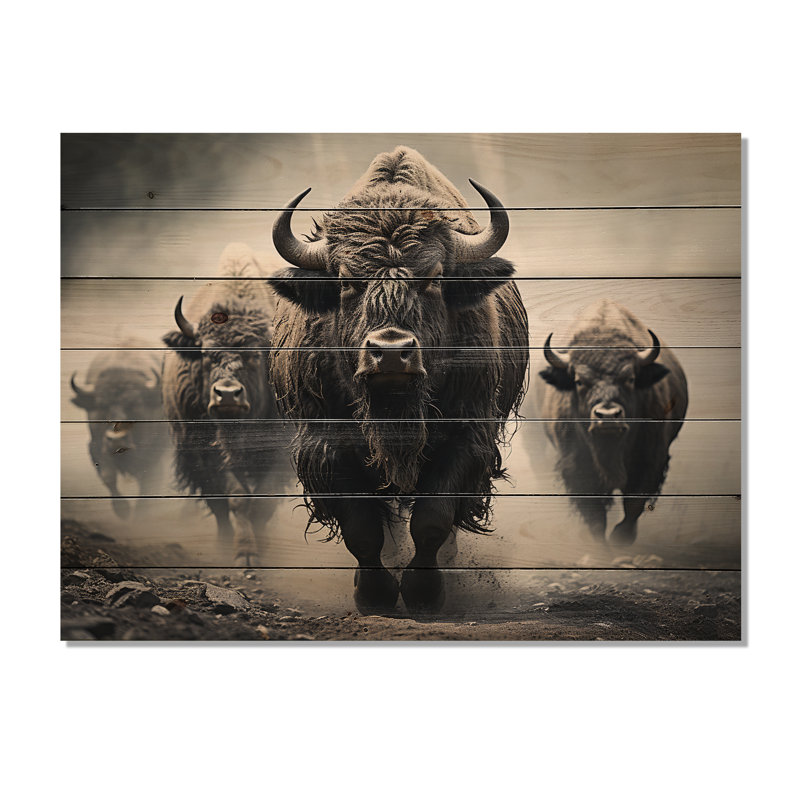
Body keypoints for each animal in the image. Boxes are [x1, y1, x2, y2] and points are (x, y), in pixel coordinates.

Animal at [70, 344, 164, 518]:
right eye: (102, 404)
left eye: (135, 403)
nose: (116, 439)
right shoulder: (97, 447)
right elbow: (108, 476)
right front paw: (123, 511)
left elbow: (148, 486)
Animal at [162, 243, 285, 567]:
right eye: (207, 354)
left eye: (255, 355)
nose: (227, 394)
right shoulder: (207, 453)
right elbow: (235, 498)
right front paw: (245, 555)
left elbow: (264, 501)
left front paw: (261, 549)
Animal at [269, 146, 529, 614]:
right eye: (346, 281)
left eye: (434, 277)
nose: (390, 351)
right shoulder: (326, 445)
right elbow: (362, 529)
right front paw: (373, 595)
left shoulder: (467, 437)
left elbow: (432, 520)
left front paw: (425, 594)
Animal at [537, 299, 688, 544]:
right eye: (579, 381)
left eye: (630, 378)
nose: (607, 416)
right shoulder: (578, 468)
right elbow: (595, 515)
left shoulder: (650, 460)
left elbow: (634, 504)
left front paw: (621, 539)